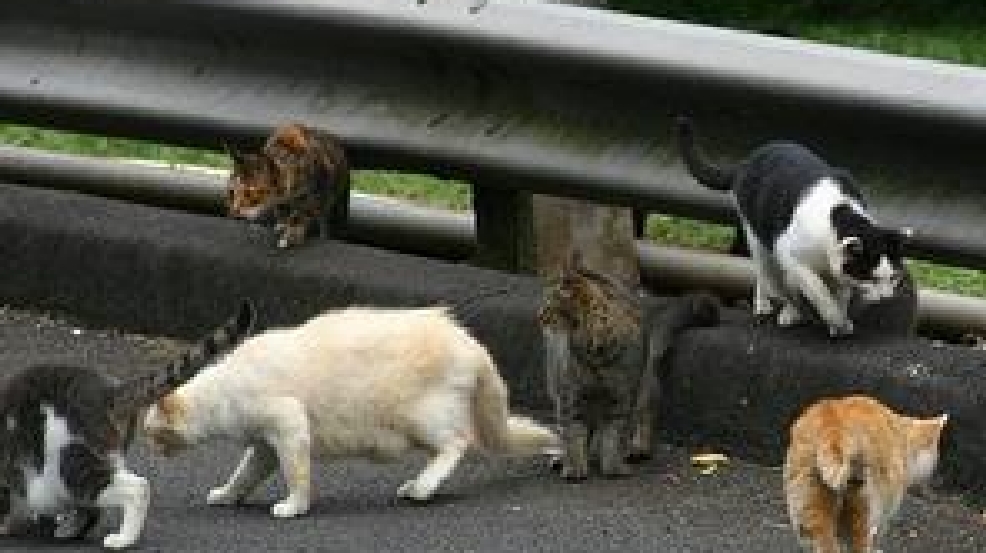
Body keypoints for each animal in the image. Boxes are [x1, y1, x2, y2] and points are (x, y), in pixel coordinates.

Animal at [0, 300, 255, 549]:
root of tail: (106, 391)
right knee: (91, 507)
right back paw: (68, 529)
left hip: (62, 468)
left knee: (135, 488)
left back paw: (121, 539)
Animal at [142, 306, 559, 516]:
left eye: (151, 435)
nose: (152, 453)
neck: (225, 391)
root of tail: (471, 343)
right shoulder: (264, 445)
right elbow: (244, 474)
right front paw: (228, 495)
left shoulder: (288, 426)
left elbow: (297, 474)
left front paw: (294, 507)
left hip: (418, 417)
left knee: (457, 443)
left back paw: (422, 487)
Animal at [538, 251, 720, 480]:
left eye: (547, 305)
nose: (539, 316)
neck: (596, 350)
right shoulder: (570, 397)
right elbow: (573, 434)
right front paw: (575, 466)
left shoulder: (623, 398)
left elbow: (614, 436)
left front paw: (613, 466)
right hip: (558, 384)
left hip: (643, 385)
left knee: (647, 410)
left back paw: (638, 447)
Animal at [675, 117, 911, 338]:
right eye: (872, 277)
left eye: (893, 277)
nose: (887, 298)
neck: (838, 215)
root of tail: (747, 162)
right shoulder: (791, 256)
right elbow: (818, 291)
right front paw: (835, 319)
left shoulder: (837, 270)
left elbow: (840, 293)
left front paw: (840, 320)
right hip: (761, 243)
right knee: (771, 278)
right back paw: (774, 308)